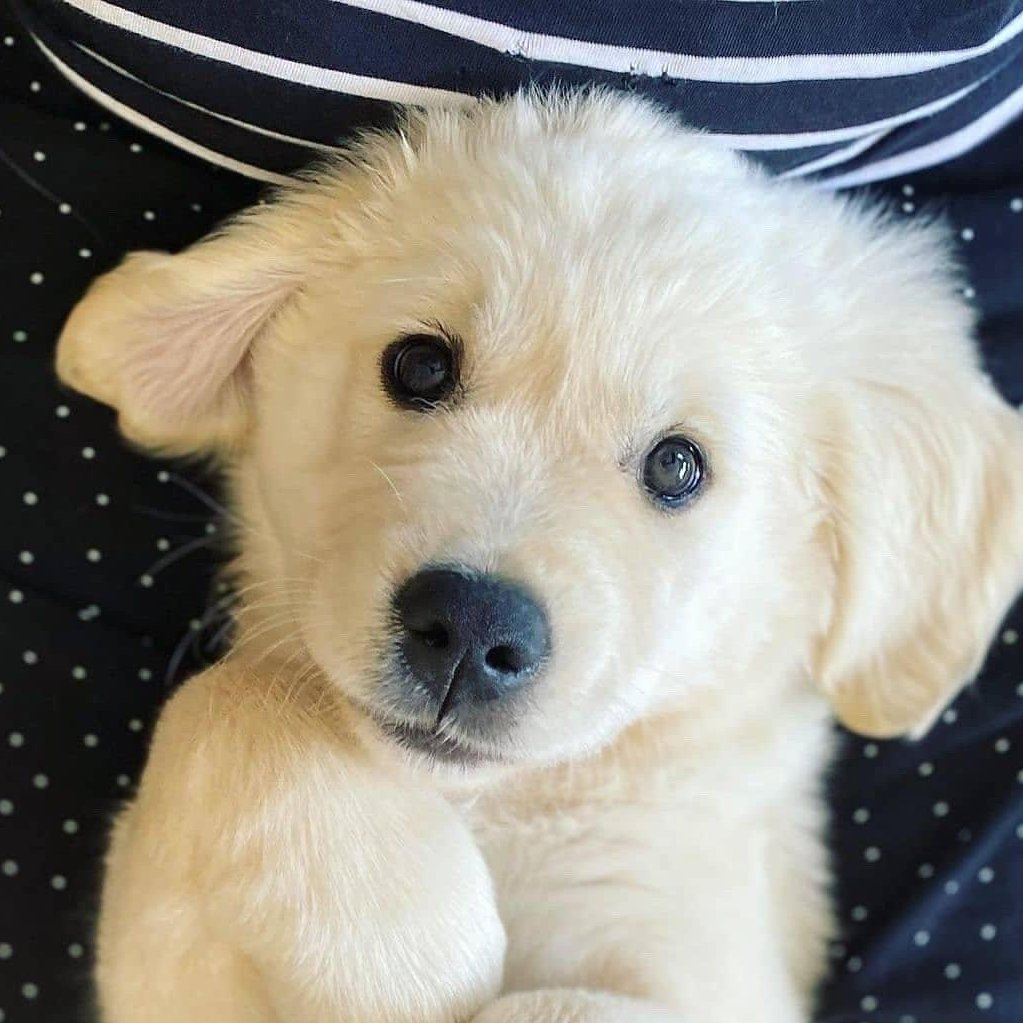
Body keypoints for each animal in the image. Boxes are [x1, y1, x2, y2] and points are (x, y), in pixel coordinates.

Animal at [56, 91, 1023, 1023]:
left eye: (677, 465)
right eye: (419, 366)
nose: (469, 625)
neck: (495, 807)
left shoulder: (715, 960)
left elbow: (561, 1005)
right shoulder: (153, 970)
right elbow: (233, 698)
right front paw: (403, 946)